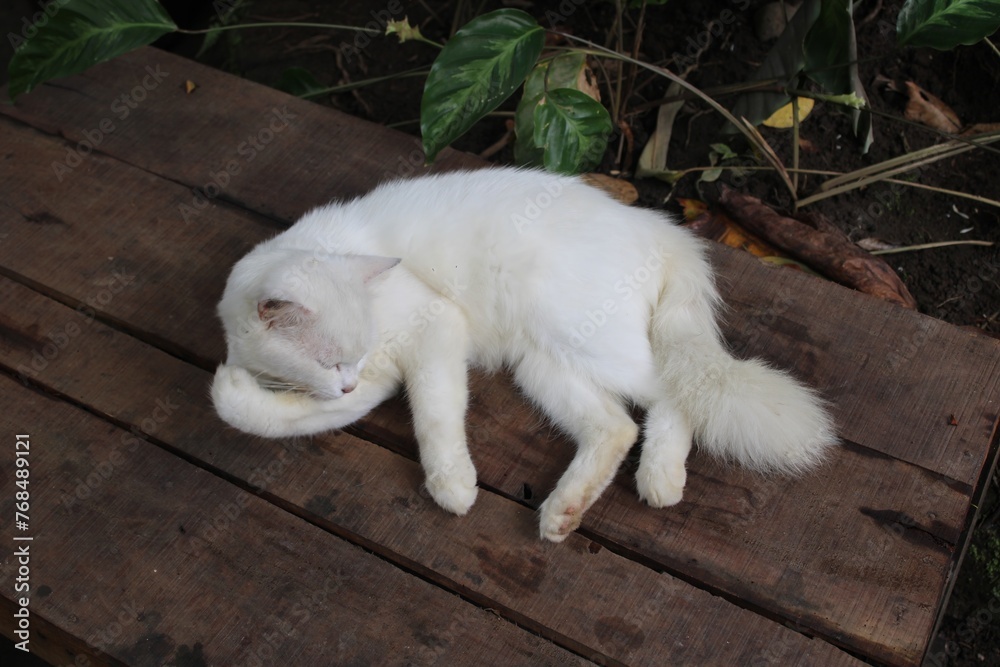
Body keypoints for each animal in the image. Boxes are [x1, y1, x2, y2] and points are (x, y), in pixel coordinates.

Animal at [213, 168, 836, 544]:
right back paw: (566, 509)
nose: (345, 380)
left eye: (348, 355)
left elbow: (436, 416)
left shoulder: (436, 329)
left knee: (675, 394)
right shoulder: (376, 378)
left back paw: (660, 474)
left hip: (582, 335)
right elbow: (283, 415)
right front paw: (237, 391)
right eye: (333, 362)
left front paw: (452, 484)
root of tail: (658, 226)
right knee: (615, 427)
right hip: (544, 364)